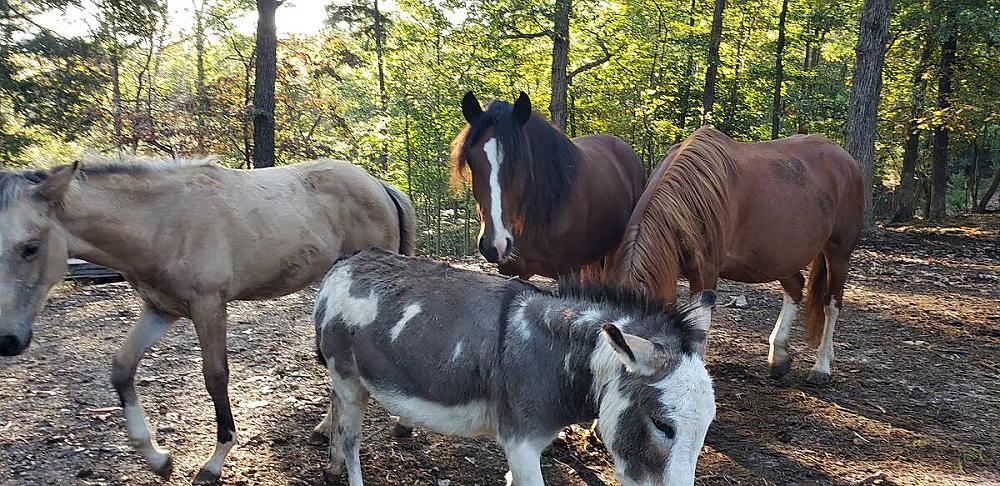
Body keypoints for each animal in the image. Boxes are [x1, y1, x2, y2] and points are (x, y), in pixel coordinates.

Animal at [0, 157, 416, 483]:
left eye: (30, 247)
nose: (8, 340)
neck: (161, 222)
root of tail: (379, 186)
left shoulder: (209, 306)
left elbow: (215, 377)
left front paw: (214, 461)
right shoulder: (161, 309)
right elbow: (122, 368)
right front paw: (158, 460)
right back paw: (329, 430)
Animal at [313, 248, 717, 486]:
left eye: (706, 428)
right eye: (663, 426)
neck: (554, 357)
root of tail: (344, 263)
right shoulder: (520, 442)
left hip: (346, 380)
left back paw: (331, 464)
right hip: (348, 378)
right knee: (351, 438)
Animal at [607, 127, 863, 384]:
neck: (688, 202)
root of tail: (846, 160)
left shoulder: (705, 274)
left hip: (838, 252)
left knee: (832, 304)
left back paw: (821, 366)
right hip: (780, 259)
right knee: (795, 287)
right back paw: (779, 357)